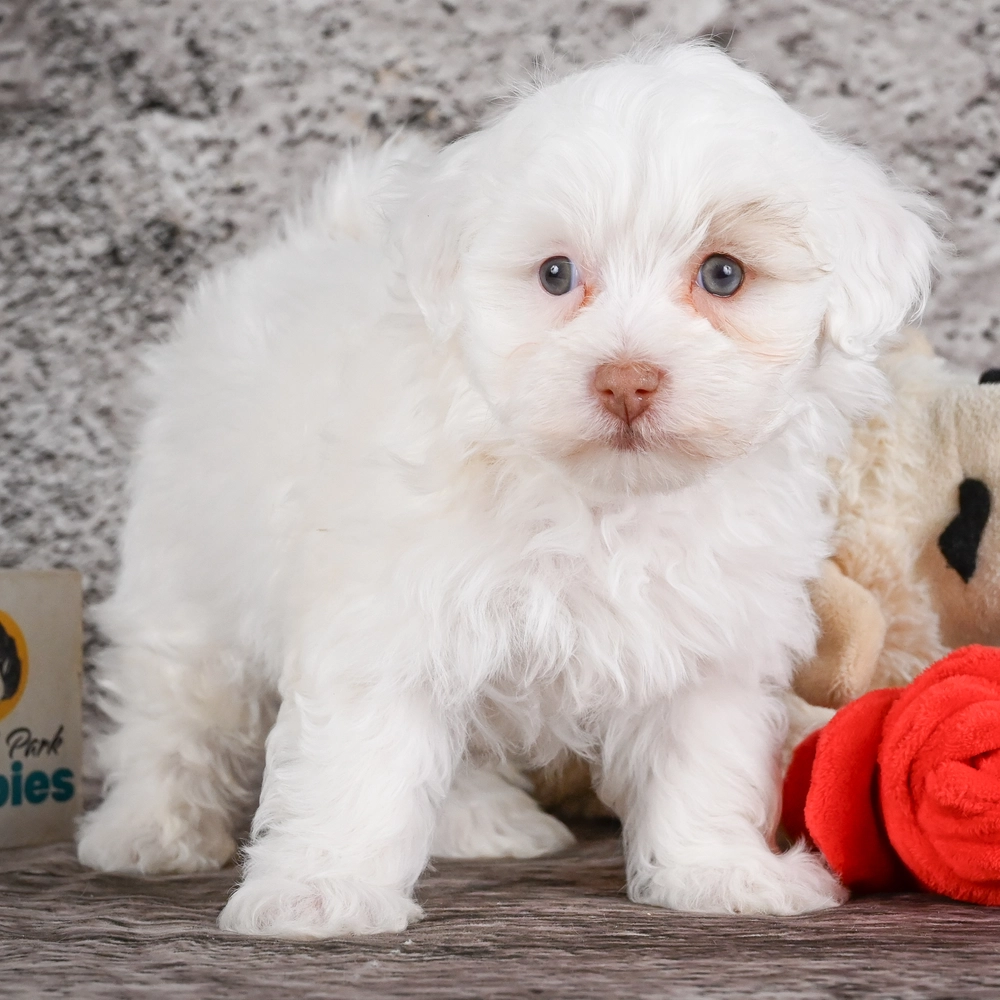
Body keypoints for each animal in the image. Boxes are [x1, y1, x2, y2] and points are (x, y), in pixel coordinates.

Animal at [77, 41, 939, 938]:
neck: (602, 500)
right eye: (556, 274)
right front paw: (320, 892)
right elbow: (361, 756)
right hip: (187, 562)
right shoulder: (388, 611)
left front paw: (720, 871)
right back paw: (150, 829)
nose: (626, 379)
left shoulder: (710, 636)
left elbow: (702, 757)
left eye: (724, 274)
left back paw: (479, 822)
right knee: (173, 709)